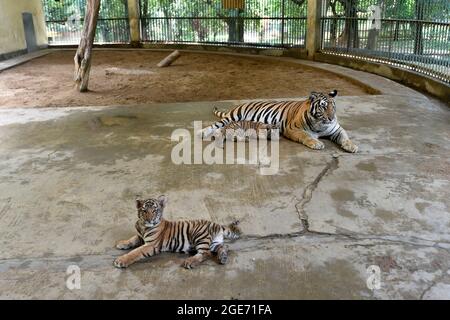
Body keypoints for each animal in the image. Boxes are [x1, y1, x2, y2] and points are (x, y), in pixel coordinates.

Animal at [201, 89, 358, 153]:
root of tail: (241, 104)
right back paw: (202, 133)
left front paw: (352, 146)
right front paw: (316, 143)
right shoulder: (293, 129)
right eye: (323, 106)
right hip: (233, 117)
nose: (331, 118)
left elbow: (345, 137)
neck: (320, 125)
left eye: (333, 106)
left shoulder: (337, 129)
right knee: (216, 126)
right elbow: (306, 136)